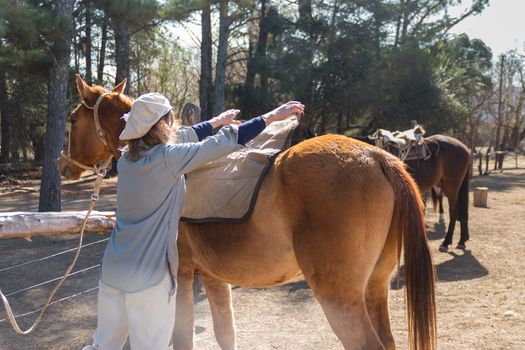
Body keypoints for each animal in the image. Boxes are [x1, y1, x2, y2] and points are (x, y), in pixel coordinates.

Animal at [60, 76, 438, 350]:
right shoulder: (213, 277)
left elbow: (183, 336)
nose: (64, 166)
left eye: (73, 119)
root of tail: (379, 157)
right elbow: (226, 333)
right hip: (375, 287)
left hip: (340, 296)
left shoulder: (183, 273)